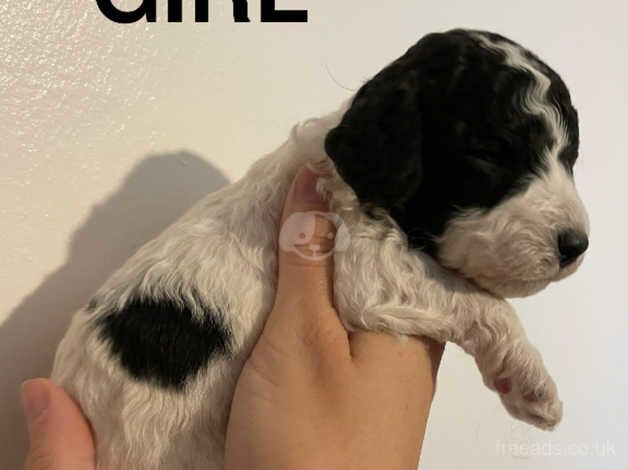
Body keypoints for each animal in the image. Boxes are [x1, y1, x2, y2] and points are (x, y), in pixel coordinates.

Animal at [51, 30, 588, 470]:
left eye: (569, 157)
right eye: (490, 155)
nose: (577, 245)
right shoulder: (367, 268)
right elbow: (482, 302)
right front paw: (530, 381)